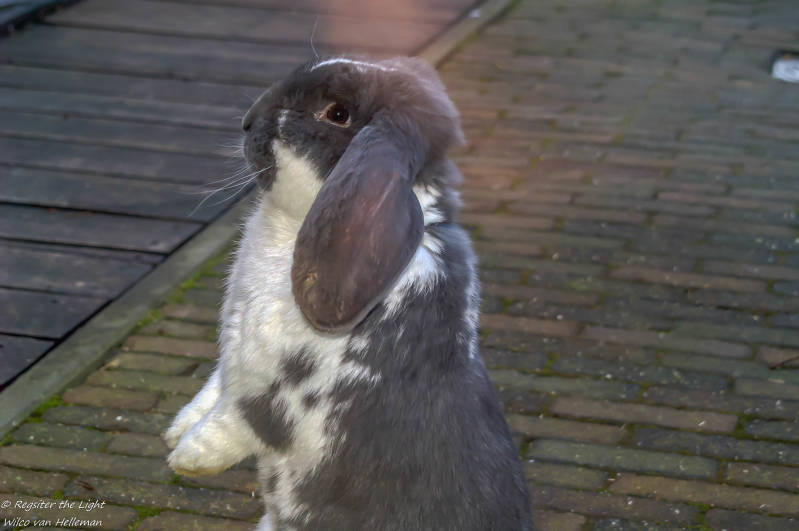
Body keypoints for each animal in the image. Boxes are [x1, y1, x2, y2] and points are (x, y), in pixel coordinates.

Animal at [164, 56, 534, 531]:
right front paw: (177, 428)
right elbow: (214, 388)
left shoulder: (278, 392)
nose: (247, 121)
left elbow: (239, 420)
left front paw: (187, 456)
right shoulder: (232, 360)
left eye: (336, 113)